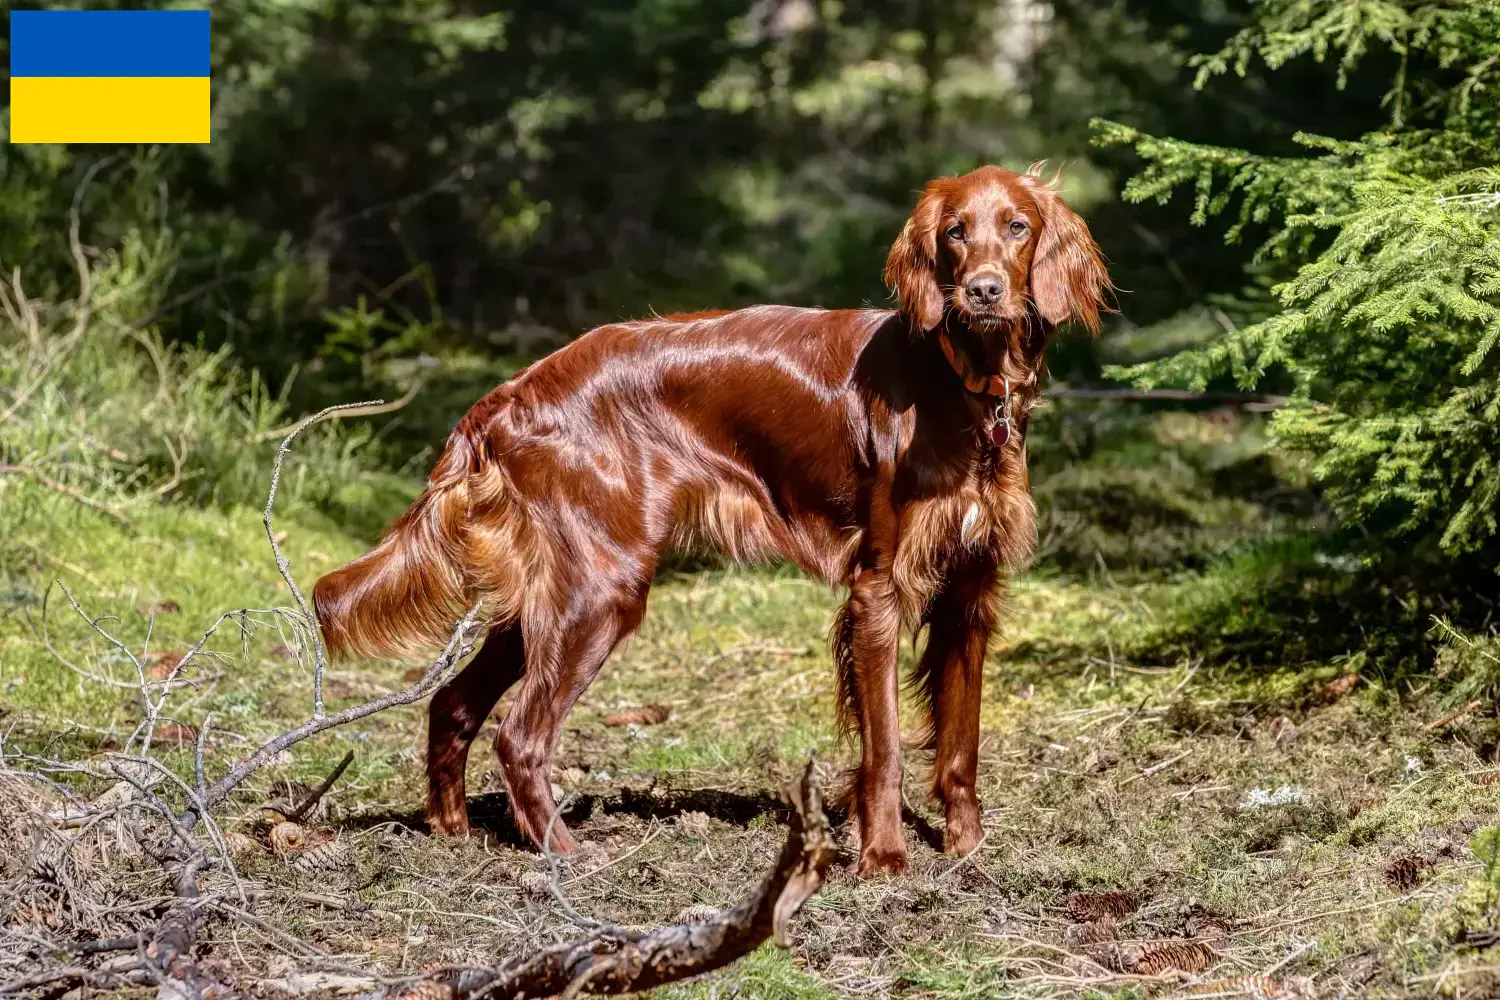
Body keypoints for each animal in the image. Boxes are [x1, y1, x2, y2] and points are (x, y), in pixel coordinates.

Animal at [313, 164, 1116, 875]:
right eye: (955, 232)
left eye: (1016, 227)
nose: (983, 290)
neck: (961, 385)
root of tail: (513, 392)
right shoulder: (879, 590)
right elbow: (884, 748)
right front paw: (884, 860)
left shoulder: (970, 592)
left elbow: (961, 742)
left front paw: (967, 847)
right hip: (601, 588)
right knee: (520, 734)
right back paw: (565, 854)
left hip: (553, 591)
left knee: (452, 703)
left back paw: (451, 831)